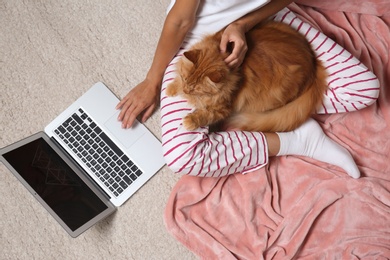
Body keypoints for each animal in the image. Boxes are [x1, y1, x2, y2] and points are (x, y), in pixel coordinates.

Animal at [166, 20, 328, 132]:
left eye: (196, 90)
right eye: (185, 80)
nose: (186, 91)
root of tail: (314, 62)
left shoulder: (225, 108)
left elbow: (206, 115)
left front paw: (191, 121)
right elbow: (177, 81)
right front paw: (172, 89)